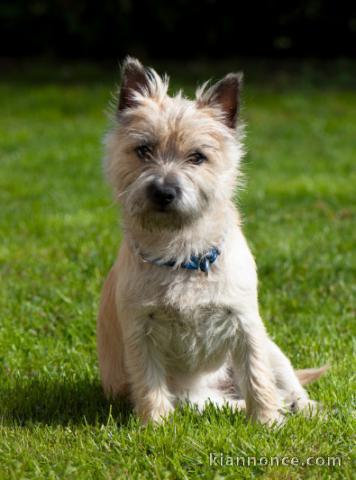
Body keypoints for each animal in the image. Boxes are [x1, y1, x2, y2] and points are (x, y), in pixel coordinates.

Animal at [96, 58, 326, 426]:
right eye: (143, 150)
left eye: (197, 157)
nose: (163, 191)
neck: (182, 252)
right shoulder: (140, 332)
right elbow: (148, 381)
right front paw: (154, 425)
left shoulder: (246, 325)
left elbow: (257, 377)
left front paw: (267, 422)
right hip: (197, 397)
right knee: (221, 403)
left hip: (273, 349)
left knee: (286, 385)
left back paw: (303, 409)